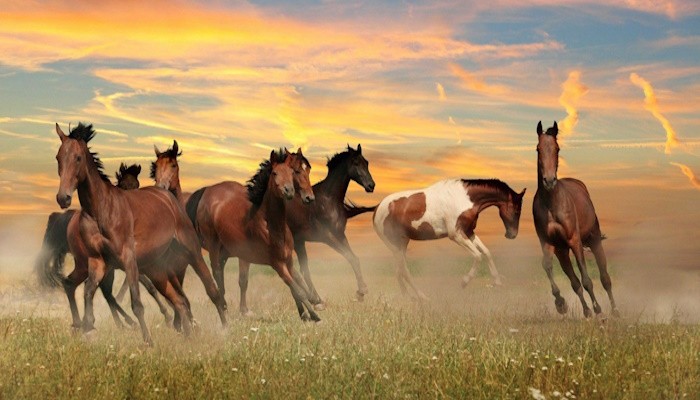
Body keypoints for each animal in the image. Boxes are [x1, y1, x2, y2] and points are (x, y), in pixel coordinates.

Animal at [53, 122, 227, 344]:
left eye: (77, 158)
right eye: (58, 158)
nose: (63, 198)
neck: (101, 210)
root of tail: (168, 197)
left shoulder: (128, 260)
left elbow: (136, 302)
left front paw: (148, 342)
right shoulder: (98, 262)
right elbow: (89, 291)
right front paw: (87, 325)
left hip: (191, 252)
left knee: (210, 290)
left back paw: (225, 329)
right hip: (156, 269)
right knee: (179, 300)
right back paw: (188, 336)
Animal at [186, 149, 320, 321]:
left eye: (293, 172)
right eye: (275, 173)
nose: (309, 197)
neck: (272, 225)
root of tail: (206, 193)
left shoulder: (288, 260)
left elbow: (298, 285)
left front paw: (307, 311)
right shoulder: (277, 264)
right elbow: (297, 289)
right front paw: (313, 315)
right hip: (214, 247)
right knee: (216, 272)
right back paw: (223, 307)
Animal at [283, 144, 376, 308]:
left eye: (367, 162)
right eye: (356, 163)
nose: (371, 186)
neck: (328, 200)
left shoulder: (340, 234)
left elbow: (354, 258)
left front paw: (361, 291)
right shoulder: (327, 237)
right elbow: (349, 257)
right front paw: (361, 292)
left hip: (299, 242)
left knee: (301, 269)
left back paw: (316, 299)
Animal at [373, 178, 525, 300]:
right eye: (517, 210)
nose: (511, 235)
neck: (465, 199)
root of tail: (377, 208)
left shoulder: (469, 232)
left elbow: (486, 252)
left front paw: (498, 282)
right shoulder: (456, 235)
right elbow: (477, 256)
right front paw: (464, 282)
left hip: (402, 244)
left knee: (398, 271)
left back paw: (408, 297)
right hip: (395, 246)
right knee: (404, 271)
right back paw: (422, 296)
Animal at [532, 121, 618, 318]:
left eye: (557, 148)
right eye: (538, 149)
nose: (549, 180)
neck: (551, 204)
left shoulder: (574, 240)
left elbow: (586, 278)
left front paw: (598, 310)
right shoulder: (548, 243)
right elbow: (547, 266)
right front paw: (560, 303)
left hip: (594, 241)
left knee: (605, 278)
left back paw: (614, 310)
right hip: (562, 251)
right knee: (574, 282)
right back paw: (586, 310)